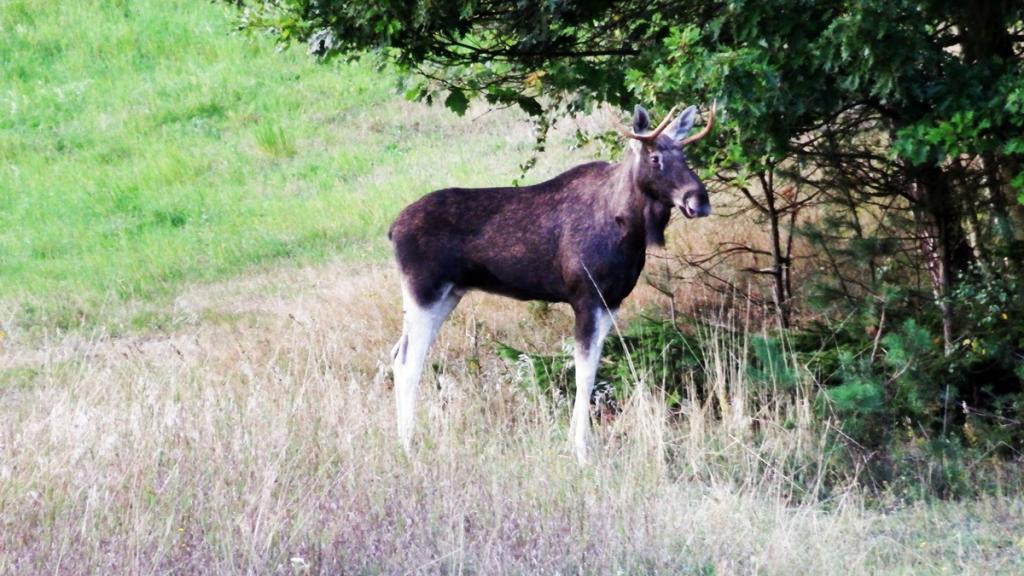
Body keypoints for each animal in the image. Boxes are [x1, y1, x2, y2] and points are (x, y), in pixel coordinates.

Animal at [387, 103, 716, 461]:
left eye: (685, 154)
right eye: (655, 157)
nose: (699, 200)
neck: (630, 227)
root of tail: (392, 229)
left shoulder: (610, 302)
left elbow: (591, 371)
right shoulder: (586, 298)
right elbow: (584, 375)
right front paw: (581, 452)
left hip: (448, 295)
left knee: (397, 353)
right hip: (423, 291)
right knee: (408, 362)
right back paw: (407, 444)